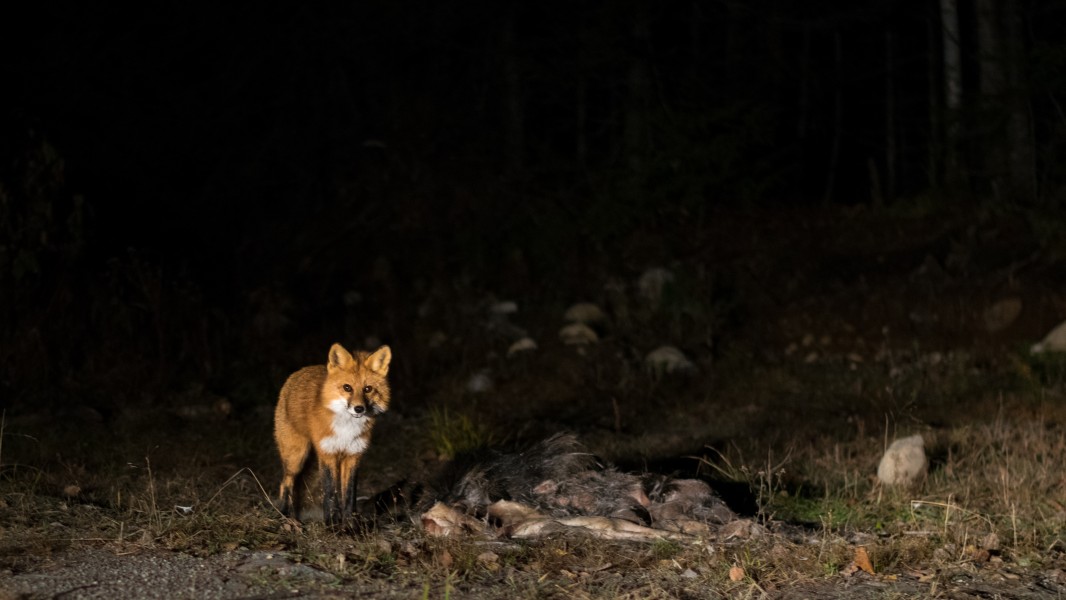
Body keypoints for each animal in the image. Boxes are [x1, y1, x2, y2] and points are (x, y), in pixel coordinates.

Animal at [274, 343, 392, 525]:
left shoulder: (353, 455)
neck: (346, 430)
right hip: (296, 457)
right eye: (347, 388)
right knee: (286, 482)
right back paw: (285, 515)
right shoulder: (327, 453)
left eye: (368, 389)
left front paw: (350, 524)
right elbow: (330, 493)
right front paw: (332, 524)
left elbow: (349, 494)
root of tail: (299, 372)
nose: (359, 408)